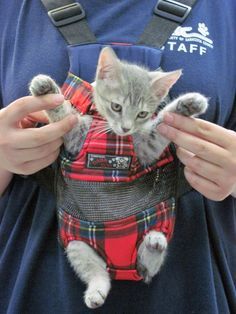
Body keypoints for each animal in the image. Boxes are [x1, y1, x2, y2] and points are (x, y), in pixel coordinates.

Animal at [29, 47, 208, 310]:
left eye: (142, 113)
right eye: (116, 106)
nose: (126, 128)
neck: (113, 138)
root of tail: (122, 266)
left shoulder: (147, 150)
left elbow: (159, 126)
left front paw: (188, 104)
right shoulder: (74, 138)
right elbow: (63, 115)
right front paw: (46, 88)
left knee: (148, 269)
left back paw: (154, 242)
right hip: (76, 243)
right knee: (97, 271)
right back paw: (96, 291)